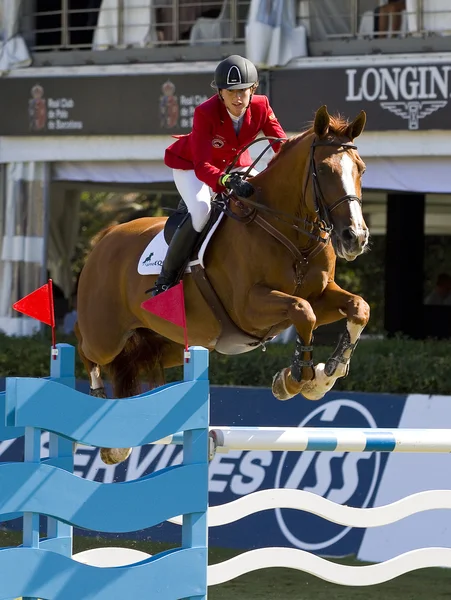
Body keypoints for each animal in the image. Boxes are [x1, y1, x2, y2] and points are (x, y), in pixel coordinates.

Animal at [75, 106, 370, 464]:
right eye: (325, 170)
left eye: (361, 169)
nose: (355, 238)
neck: (292, 234)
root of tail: (105, 237)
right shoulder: (249, 306)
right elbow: (303, 312)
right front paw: (296, 379)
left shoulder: (321, 295)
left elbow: (357, 308)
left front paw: (325, 375)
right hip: (104, 335)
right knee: (85, 349)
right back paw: (98, 408)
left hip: (167, 343)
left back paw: (114, 440)